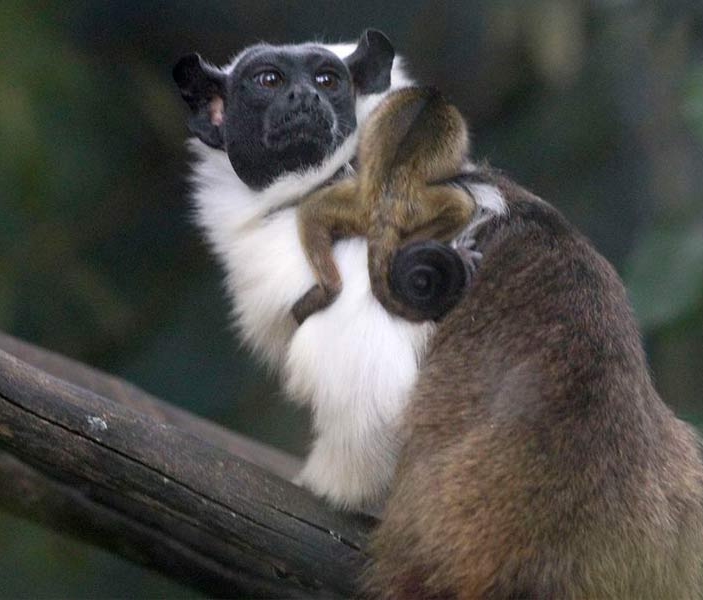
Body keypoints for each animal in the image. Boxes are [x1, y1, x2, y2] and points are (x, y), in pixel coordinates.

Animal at [292, 84, 478, 324]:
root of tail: (385, 207)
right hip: (413, 206)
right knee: (463, 206)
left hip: (359, 207)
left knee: (311, 211)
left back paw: (329, 289)